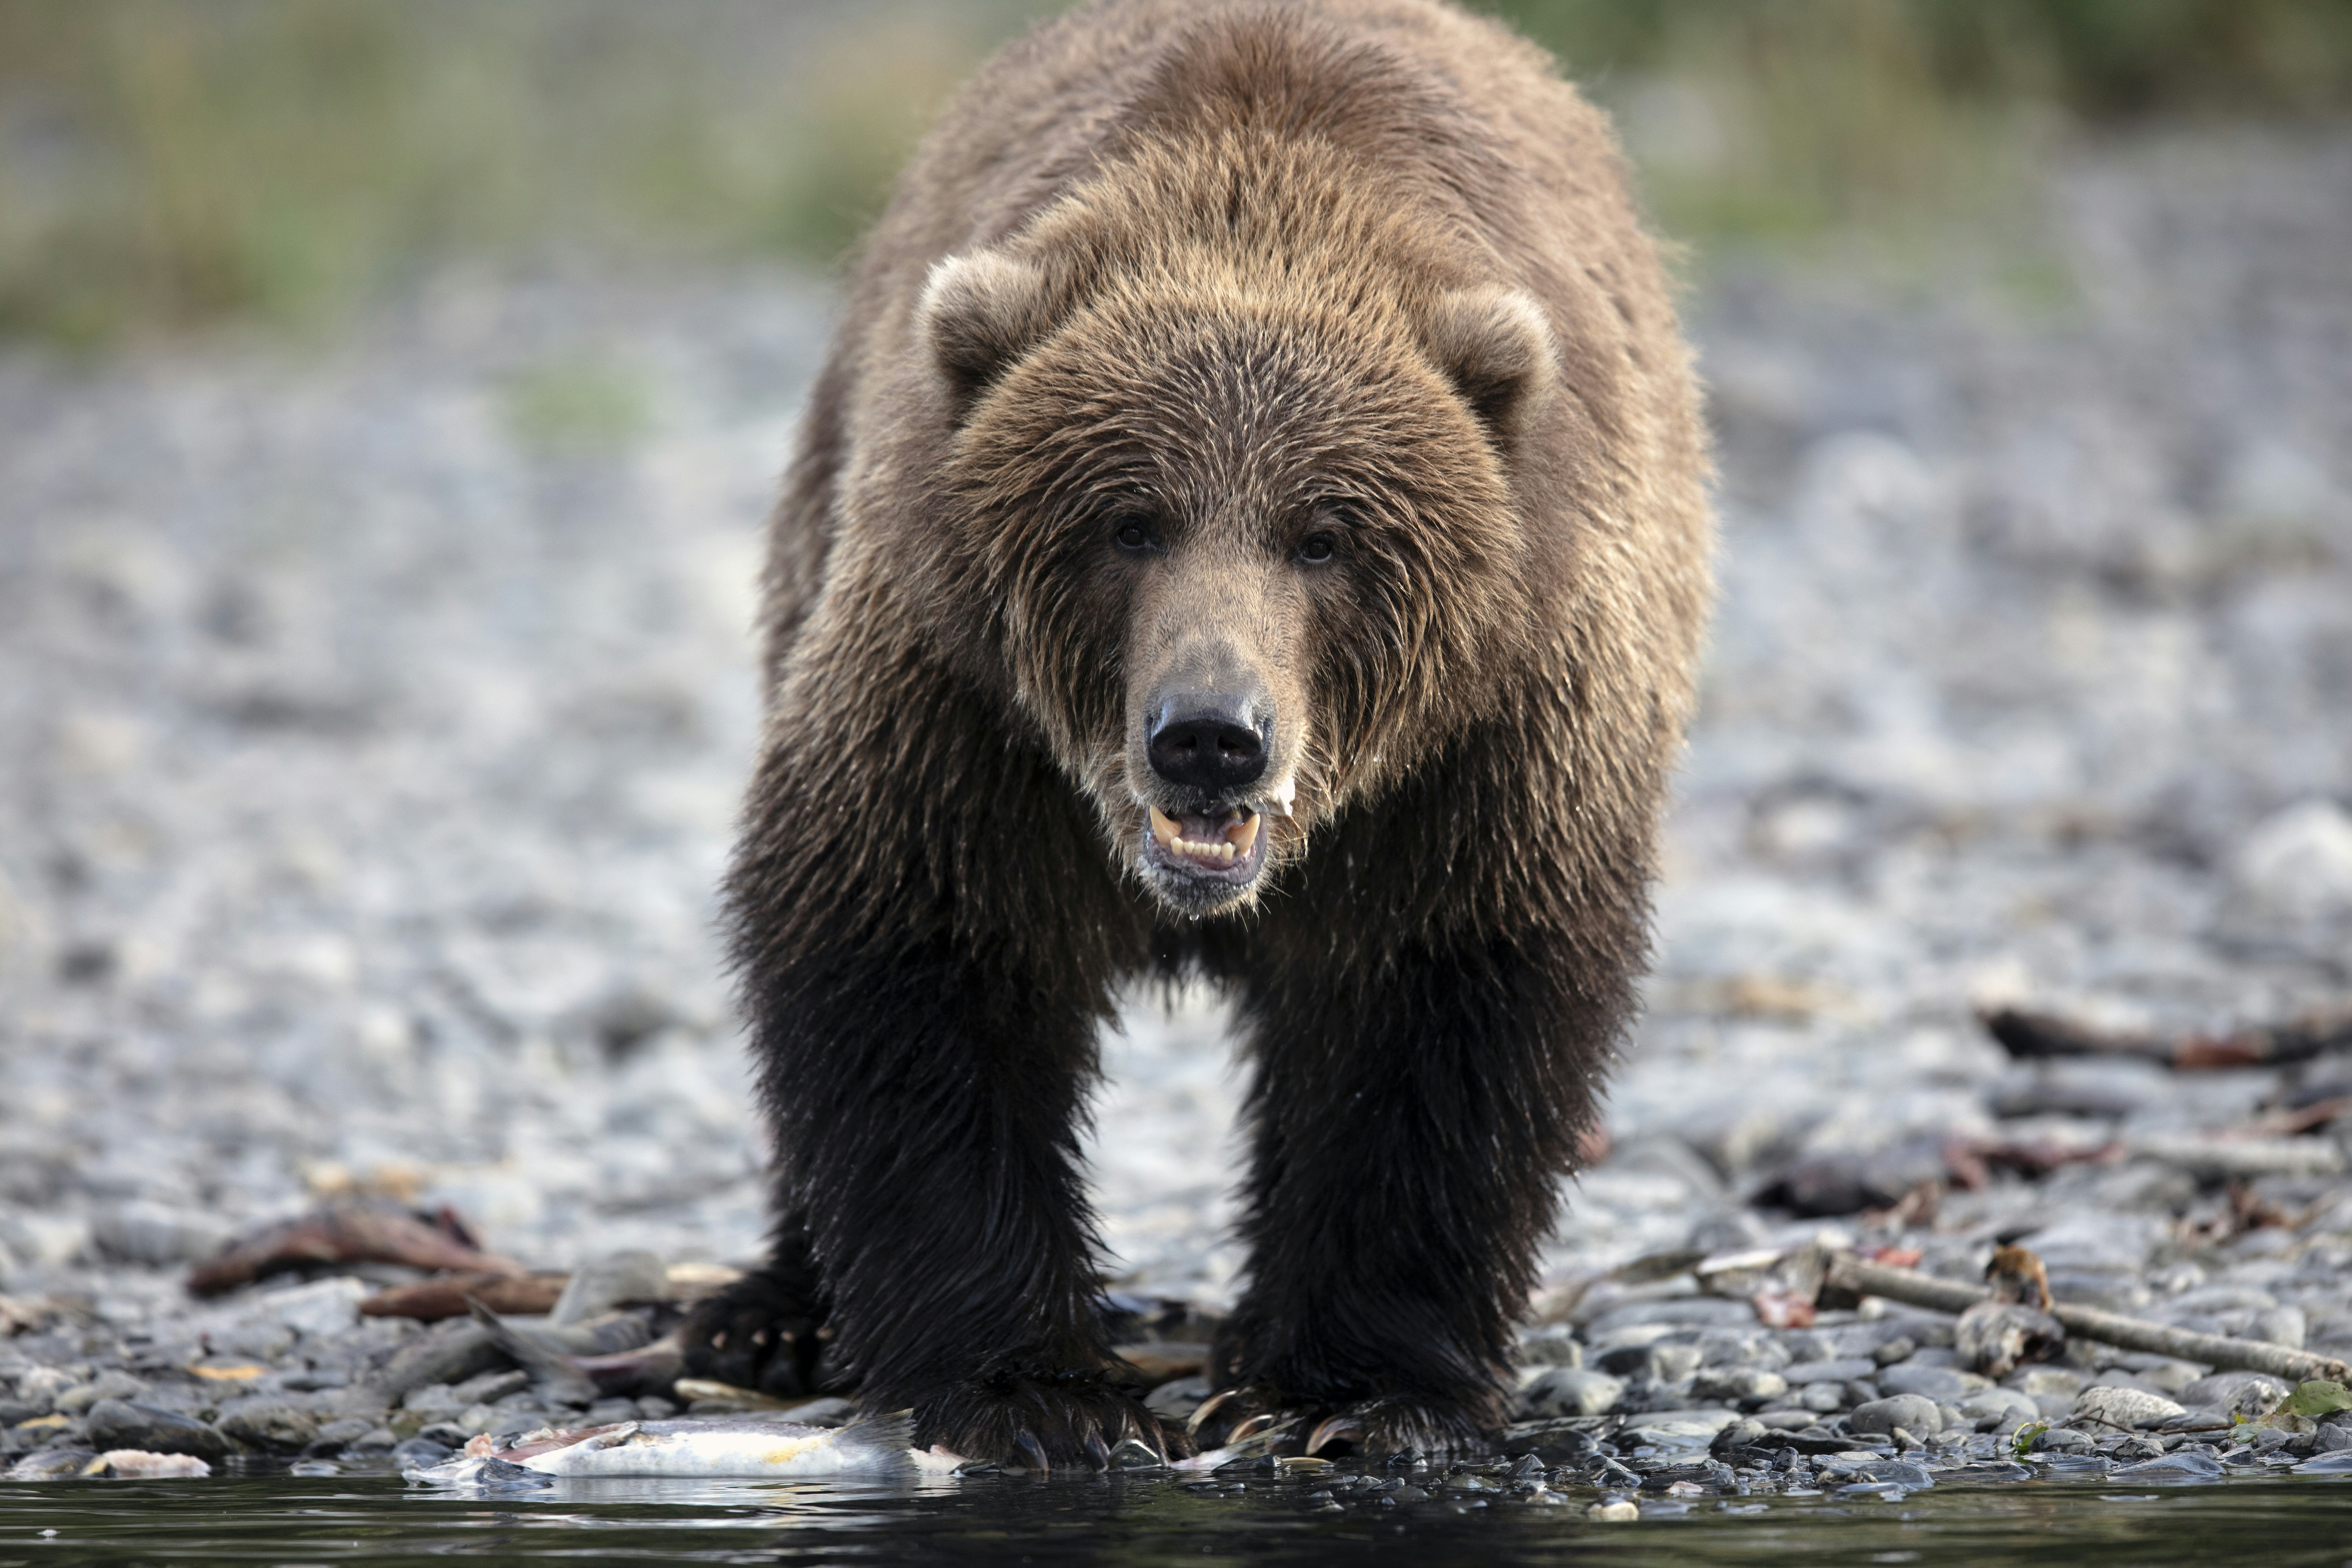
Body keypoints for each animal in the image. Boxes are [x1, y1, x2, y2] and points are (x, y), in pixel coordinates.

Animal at [686, 0, 1713, 1468]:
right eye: (1129, 521)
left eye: (1324, 535)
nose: (1211, 736)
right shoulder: (963, 719)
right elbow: (906, 960)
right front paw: (1029, 1389)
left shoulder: (1481, 753)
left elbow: (1439, 1020)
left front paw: (1346, 1392)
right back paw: (766, 1313)